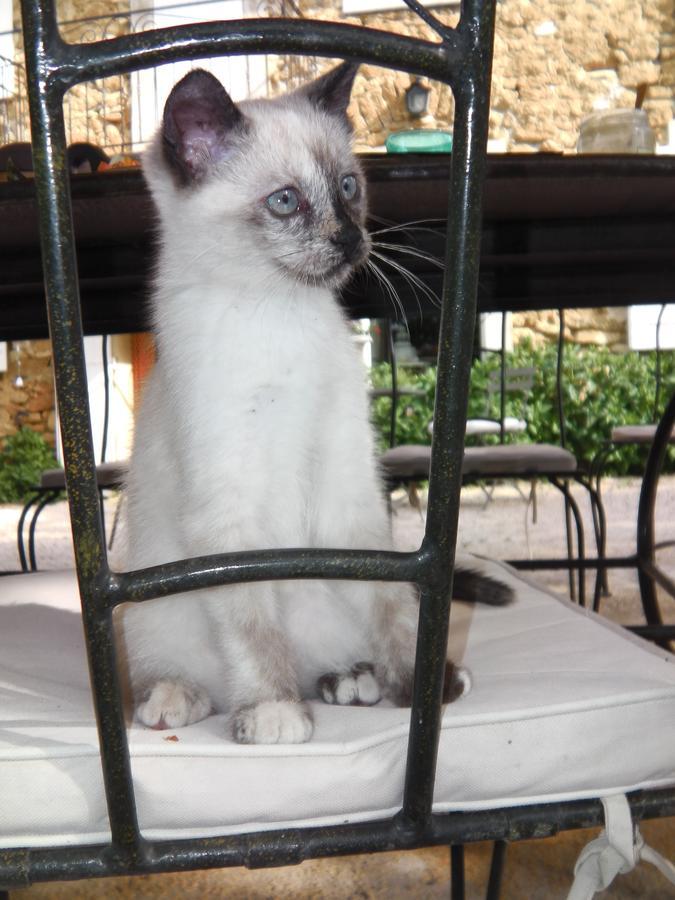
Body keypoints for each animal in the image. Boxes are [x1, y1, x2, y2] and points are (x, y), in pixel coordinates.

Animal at [116, 62, 512, 745]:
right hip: (155, 605)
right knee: (173, 669)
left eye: (349, 187)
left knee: (337, 644)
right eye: (285, 201)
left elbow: (392, 604)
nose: (351, 240)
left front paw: (419, 681)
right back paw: (181, 698)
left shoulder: (349, 489)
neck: (279, 314)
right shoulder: (227, 509)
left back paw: (354, 681)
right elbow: (252, 627)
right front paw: (272, 711)